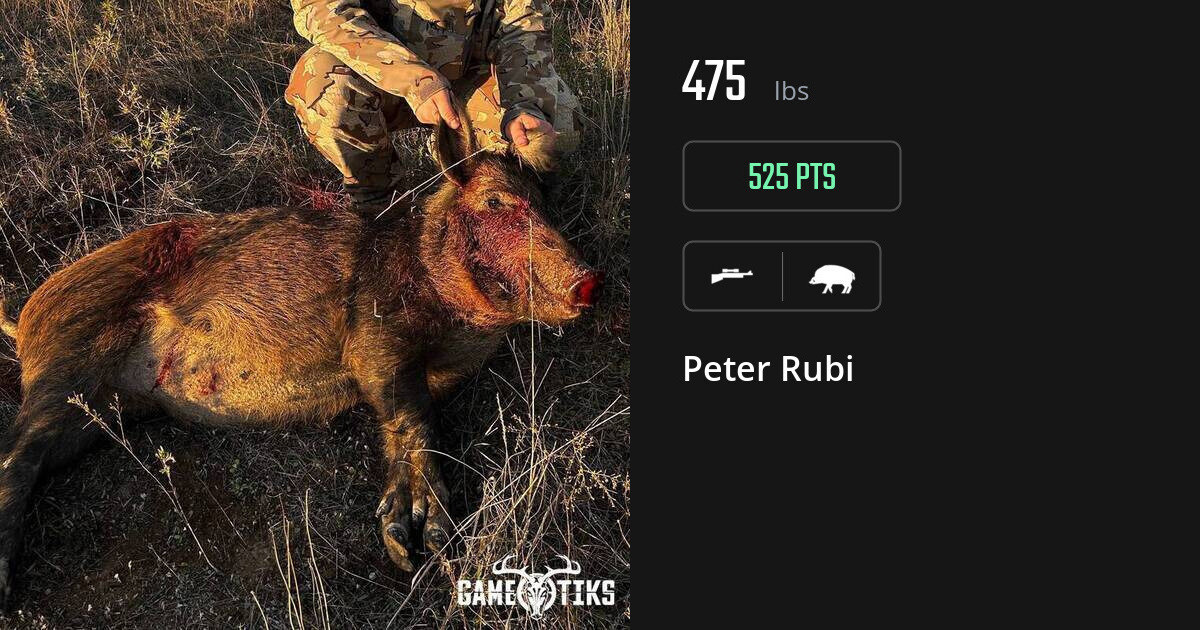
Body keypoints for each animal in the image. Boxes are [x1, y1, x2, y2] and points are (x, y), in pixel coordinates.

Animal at [0, 111, 601, 606]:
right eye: (496, 201)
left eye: (543, 205)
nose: (589, 280)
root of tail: (24, 318)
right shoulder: (373, 334)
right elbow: (412, 417)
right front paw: (422, 544)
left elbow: (406, 419)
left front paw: (414, 548)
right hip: (67, 357)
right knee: (16, 455)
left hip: (98, 411)